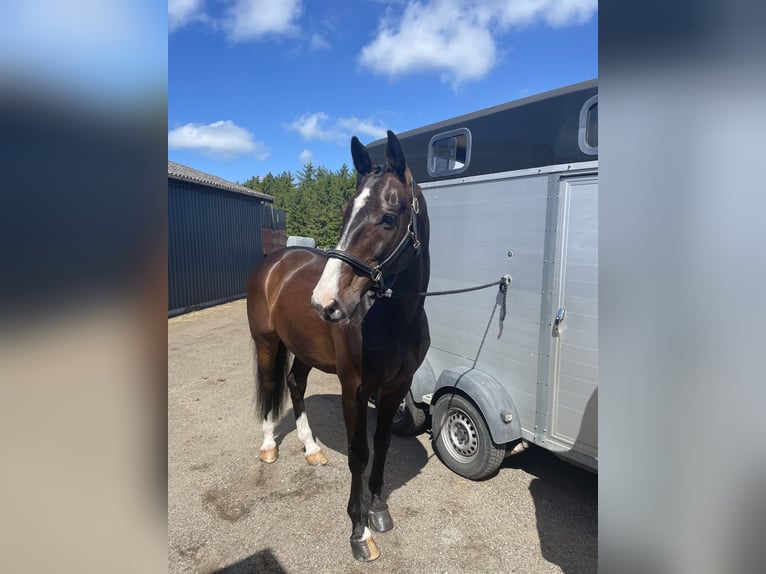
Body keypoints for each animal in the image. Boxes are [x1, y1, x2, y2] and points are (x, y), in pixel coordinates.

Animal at [248, 130, 432, 564]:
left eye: (388, 217)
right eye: (346, 211)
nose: (324, 301)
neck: (393, 320)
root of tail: (274, 261)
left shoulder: (396, 386)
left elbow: (382, 446)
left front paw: (378, 509)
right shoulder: (355, 387)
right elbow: (359, 453)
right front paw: (359, 531)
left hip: (303, 351)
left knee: (294, 384)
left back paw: (311, 448)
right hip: (266, 343)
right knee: (270, 386)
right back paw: (268, 446)